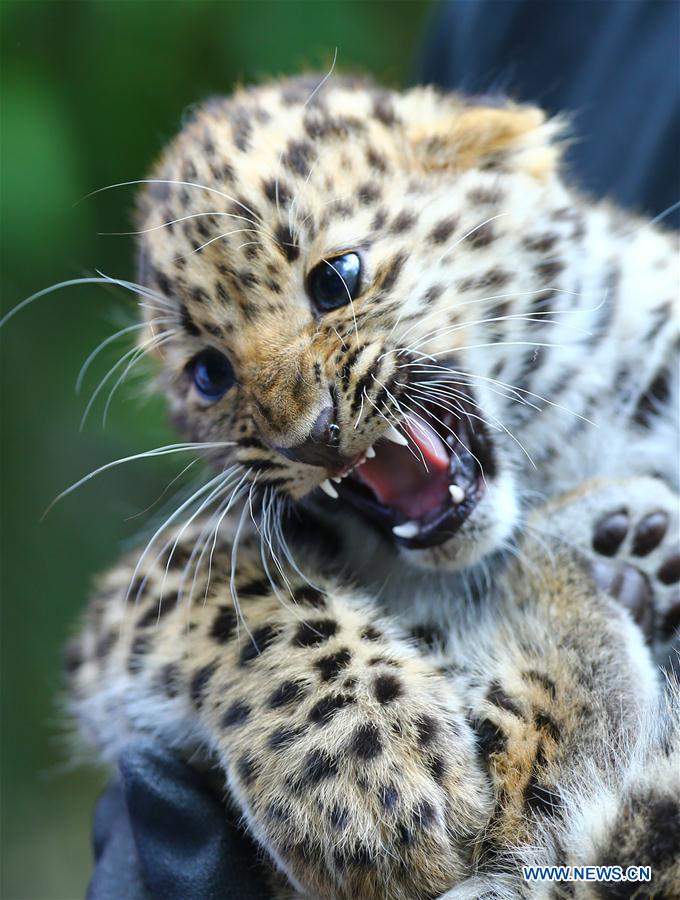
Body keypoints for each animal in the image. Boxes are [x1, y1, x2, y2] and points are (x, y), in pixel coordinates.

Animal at [60, 75, 680, 898]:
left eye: (337, 280)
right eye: (209, 373)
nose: (308, 436)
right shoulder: (127, 605)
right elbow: (217, 585)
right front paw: (365, 771)